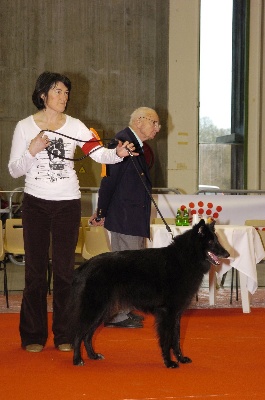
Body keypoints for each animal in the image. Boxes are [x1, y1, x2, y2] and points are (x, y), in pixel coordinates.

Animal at [66, 219, 229, 368]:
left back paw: (93, 356)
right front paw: (169, 362)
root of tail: (86, 265)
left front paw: (181, 359)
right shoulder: (167, 313)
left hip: (103, 311)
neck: (185, 258)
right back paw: (77, 360)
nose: (227, 254)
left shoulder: (176, 314)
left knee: (88, 335)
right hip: (95, 309)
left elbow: (176, 339)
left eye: (217, 239)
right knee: (79, 333)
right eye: (210, 241)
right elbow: (167, 339)